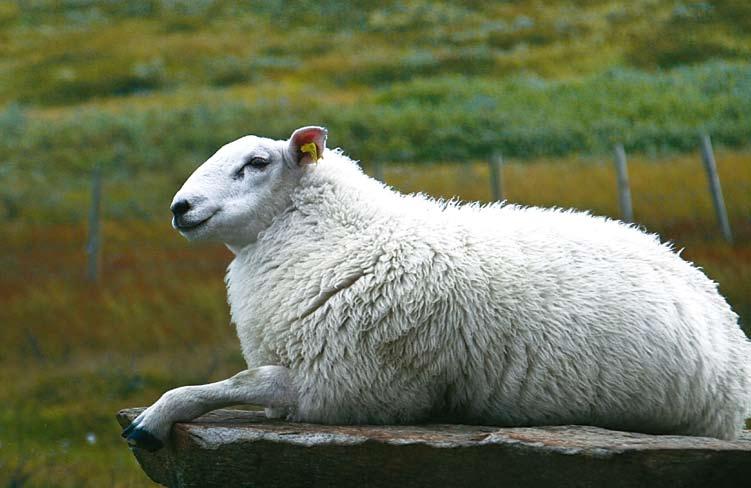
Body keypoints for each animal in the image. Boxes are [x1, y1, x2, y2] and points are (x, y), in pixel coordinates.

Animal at [120, 126, 748, 454]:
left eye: (255, 162)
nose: (180, 208)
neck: (343, 236)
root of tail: (714, 295)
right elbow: (240, 382)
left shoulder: (344, 385)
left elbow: (235, 382)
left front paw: (151, 420)